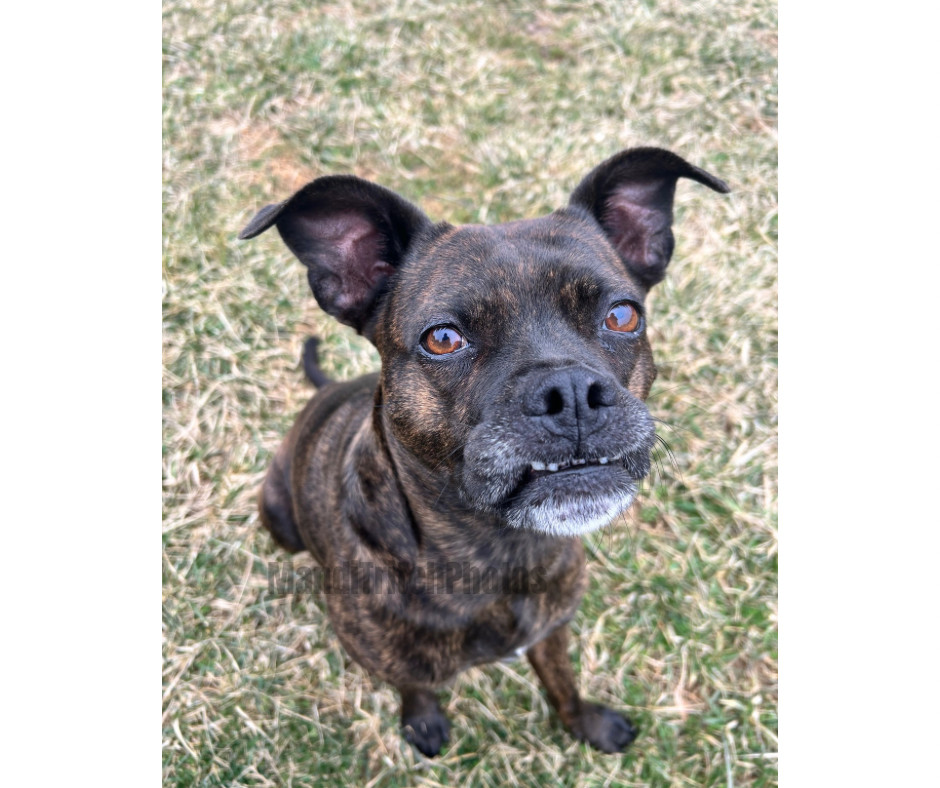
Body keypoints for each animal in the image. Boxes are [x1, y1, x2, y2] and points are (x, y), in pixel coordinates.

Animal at [241, 148, 728, 756]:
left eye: (622, 315)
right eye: (443, 338)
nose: (571, 392)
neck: (500, 551)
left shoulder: (552, 632)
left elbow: (563, 684)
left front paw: (588, 724)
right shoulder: (392, 658)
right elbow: (414, 684)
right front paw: (423, 721)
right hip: (278, 516)